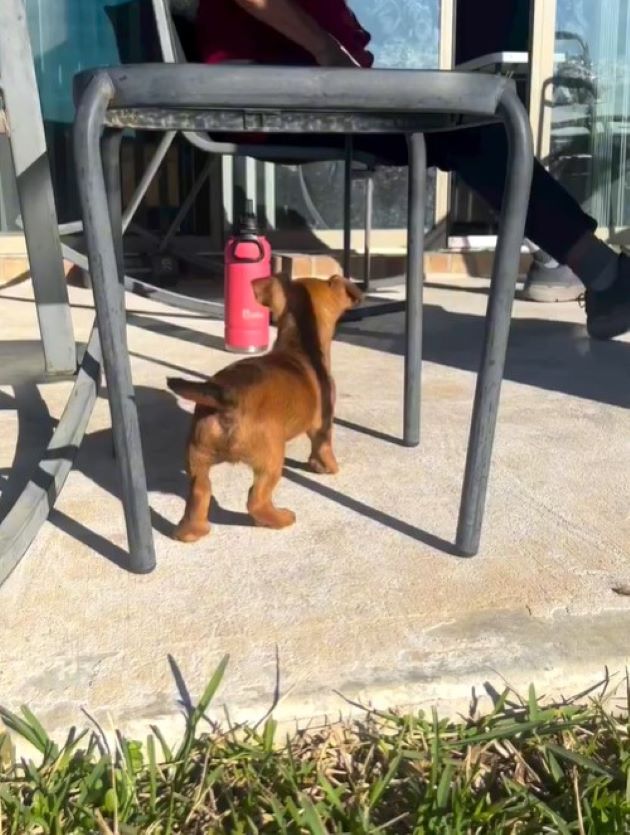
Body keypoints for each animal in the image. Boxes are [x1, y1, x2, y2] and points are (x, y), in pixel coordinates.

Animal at [168, 276, 362, 544]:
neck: (299, 347)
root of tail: (227, 398)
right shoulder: (323, 425)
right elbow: (324, 447)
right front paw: (329, 468)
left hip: (197, 457)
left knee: (200, 492)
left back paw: (190, 531)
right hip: (270, 460)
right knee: (255, 500)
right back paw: (280, 518)